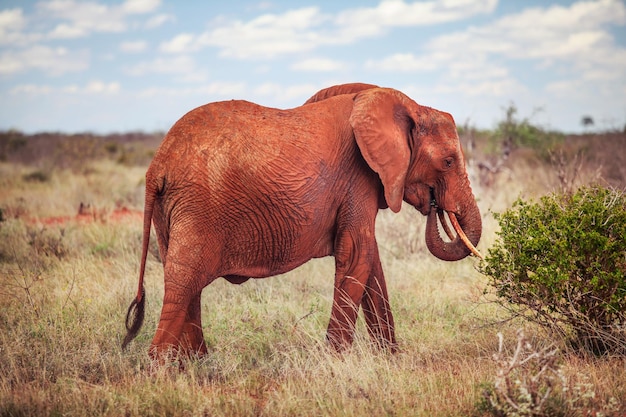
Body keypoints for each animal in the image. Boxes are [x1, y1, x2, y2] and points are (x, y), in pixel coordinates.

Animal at [123, 82, 482, 358]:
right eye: (449, 162)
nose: (435, 205)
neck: (409, 105)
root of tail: (158, 164)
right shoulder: (358, 178)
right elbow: (358, 254)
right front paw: (336, 364)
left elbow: (371, 262)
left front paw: (390, 359)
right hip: (197, 207)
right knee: (184, 282)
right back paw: (162, 373)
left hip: (174, 211)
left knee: (186, 284)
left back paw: (197, 365)